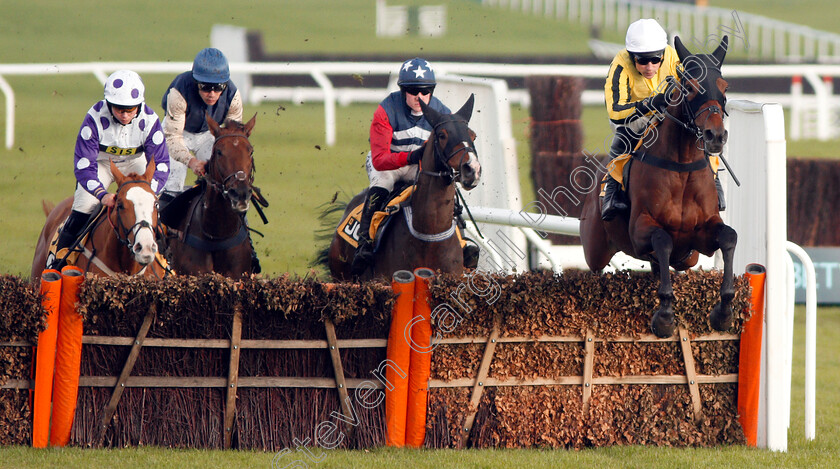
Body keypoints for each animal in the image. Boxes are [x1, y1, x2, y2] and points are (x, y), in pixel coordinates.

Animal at [580, 35, 740, 336]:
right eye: (690, 88)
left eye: (725, 87)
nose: (716, 136)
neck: (682, 169)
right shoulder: (640, 229)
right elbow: (663, 240)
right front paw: (664, 316)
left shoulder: (702, 233)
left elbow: (729, 237)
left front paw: (723, 312)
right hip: (594, 249)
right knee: (595, 268)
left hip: (687, 258)